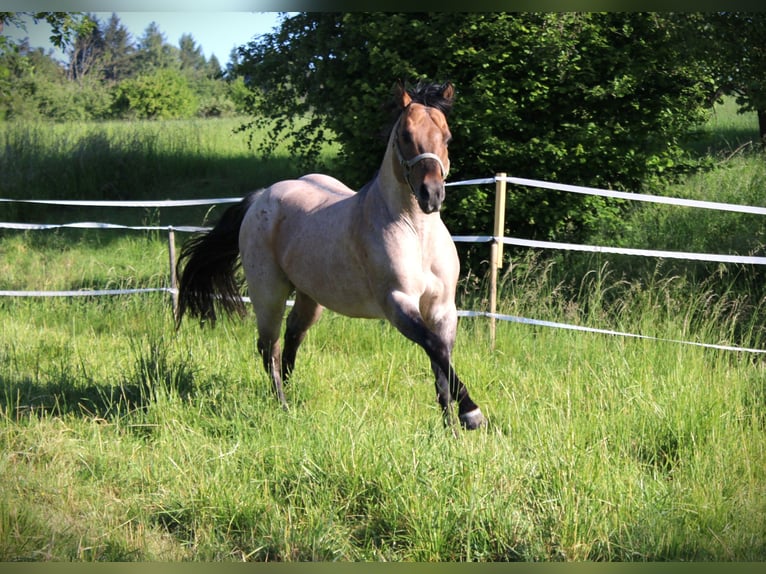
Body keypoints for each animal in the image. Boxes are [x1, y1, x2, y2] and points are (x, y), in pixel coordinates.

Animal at [175, 81, 487, 430]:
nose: (431, 195)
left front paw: (452, 427)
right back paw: (282, 406)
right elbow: (435, 349)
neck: (416, 233)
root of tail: (262, 197)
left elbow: (440, 359)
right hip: (268, 294)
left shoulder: (442, 308)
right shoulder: (397, 302)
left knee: (293, 336)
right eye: (406, 135)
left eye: (447, 137)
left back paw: (290, 395)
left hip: (310, 298)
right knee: (269, 346)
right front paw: (471, 413)